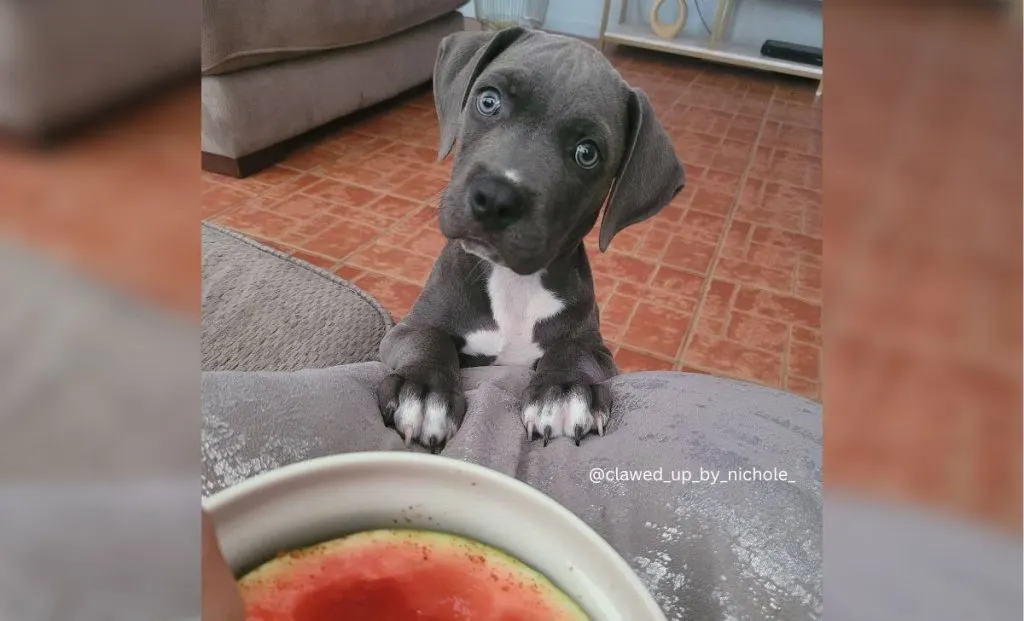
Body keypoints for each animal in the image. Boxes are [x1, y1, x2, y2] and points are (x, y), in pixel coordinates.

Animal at [378, 25, 688, 452]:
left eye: (587, 153)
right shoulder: (406, 329)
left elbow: (573, 350)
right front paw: (424, 391)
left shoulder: (598, 351)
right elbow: (427, 338)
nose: (495, 198)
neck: (513, 283)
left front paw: (563, 389)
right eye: (488, 100)